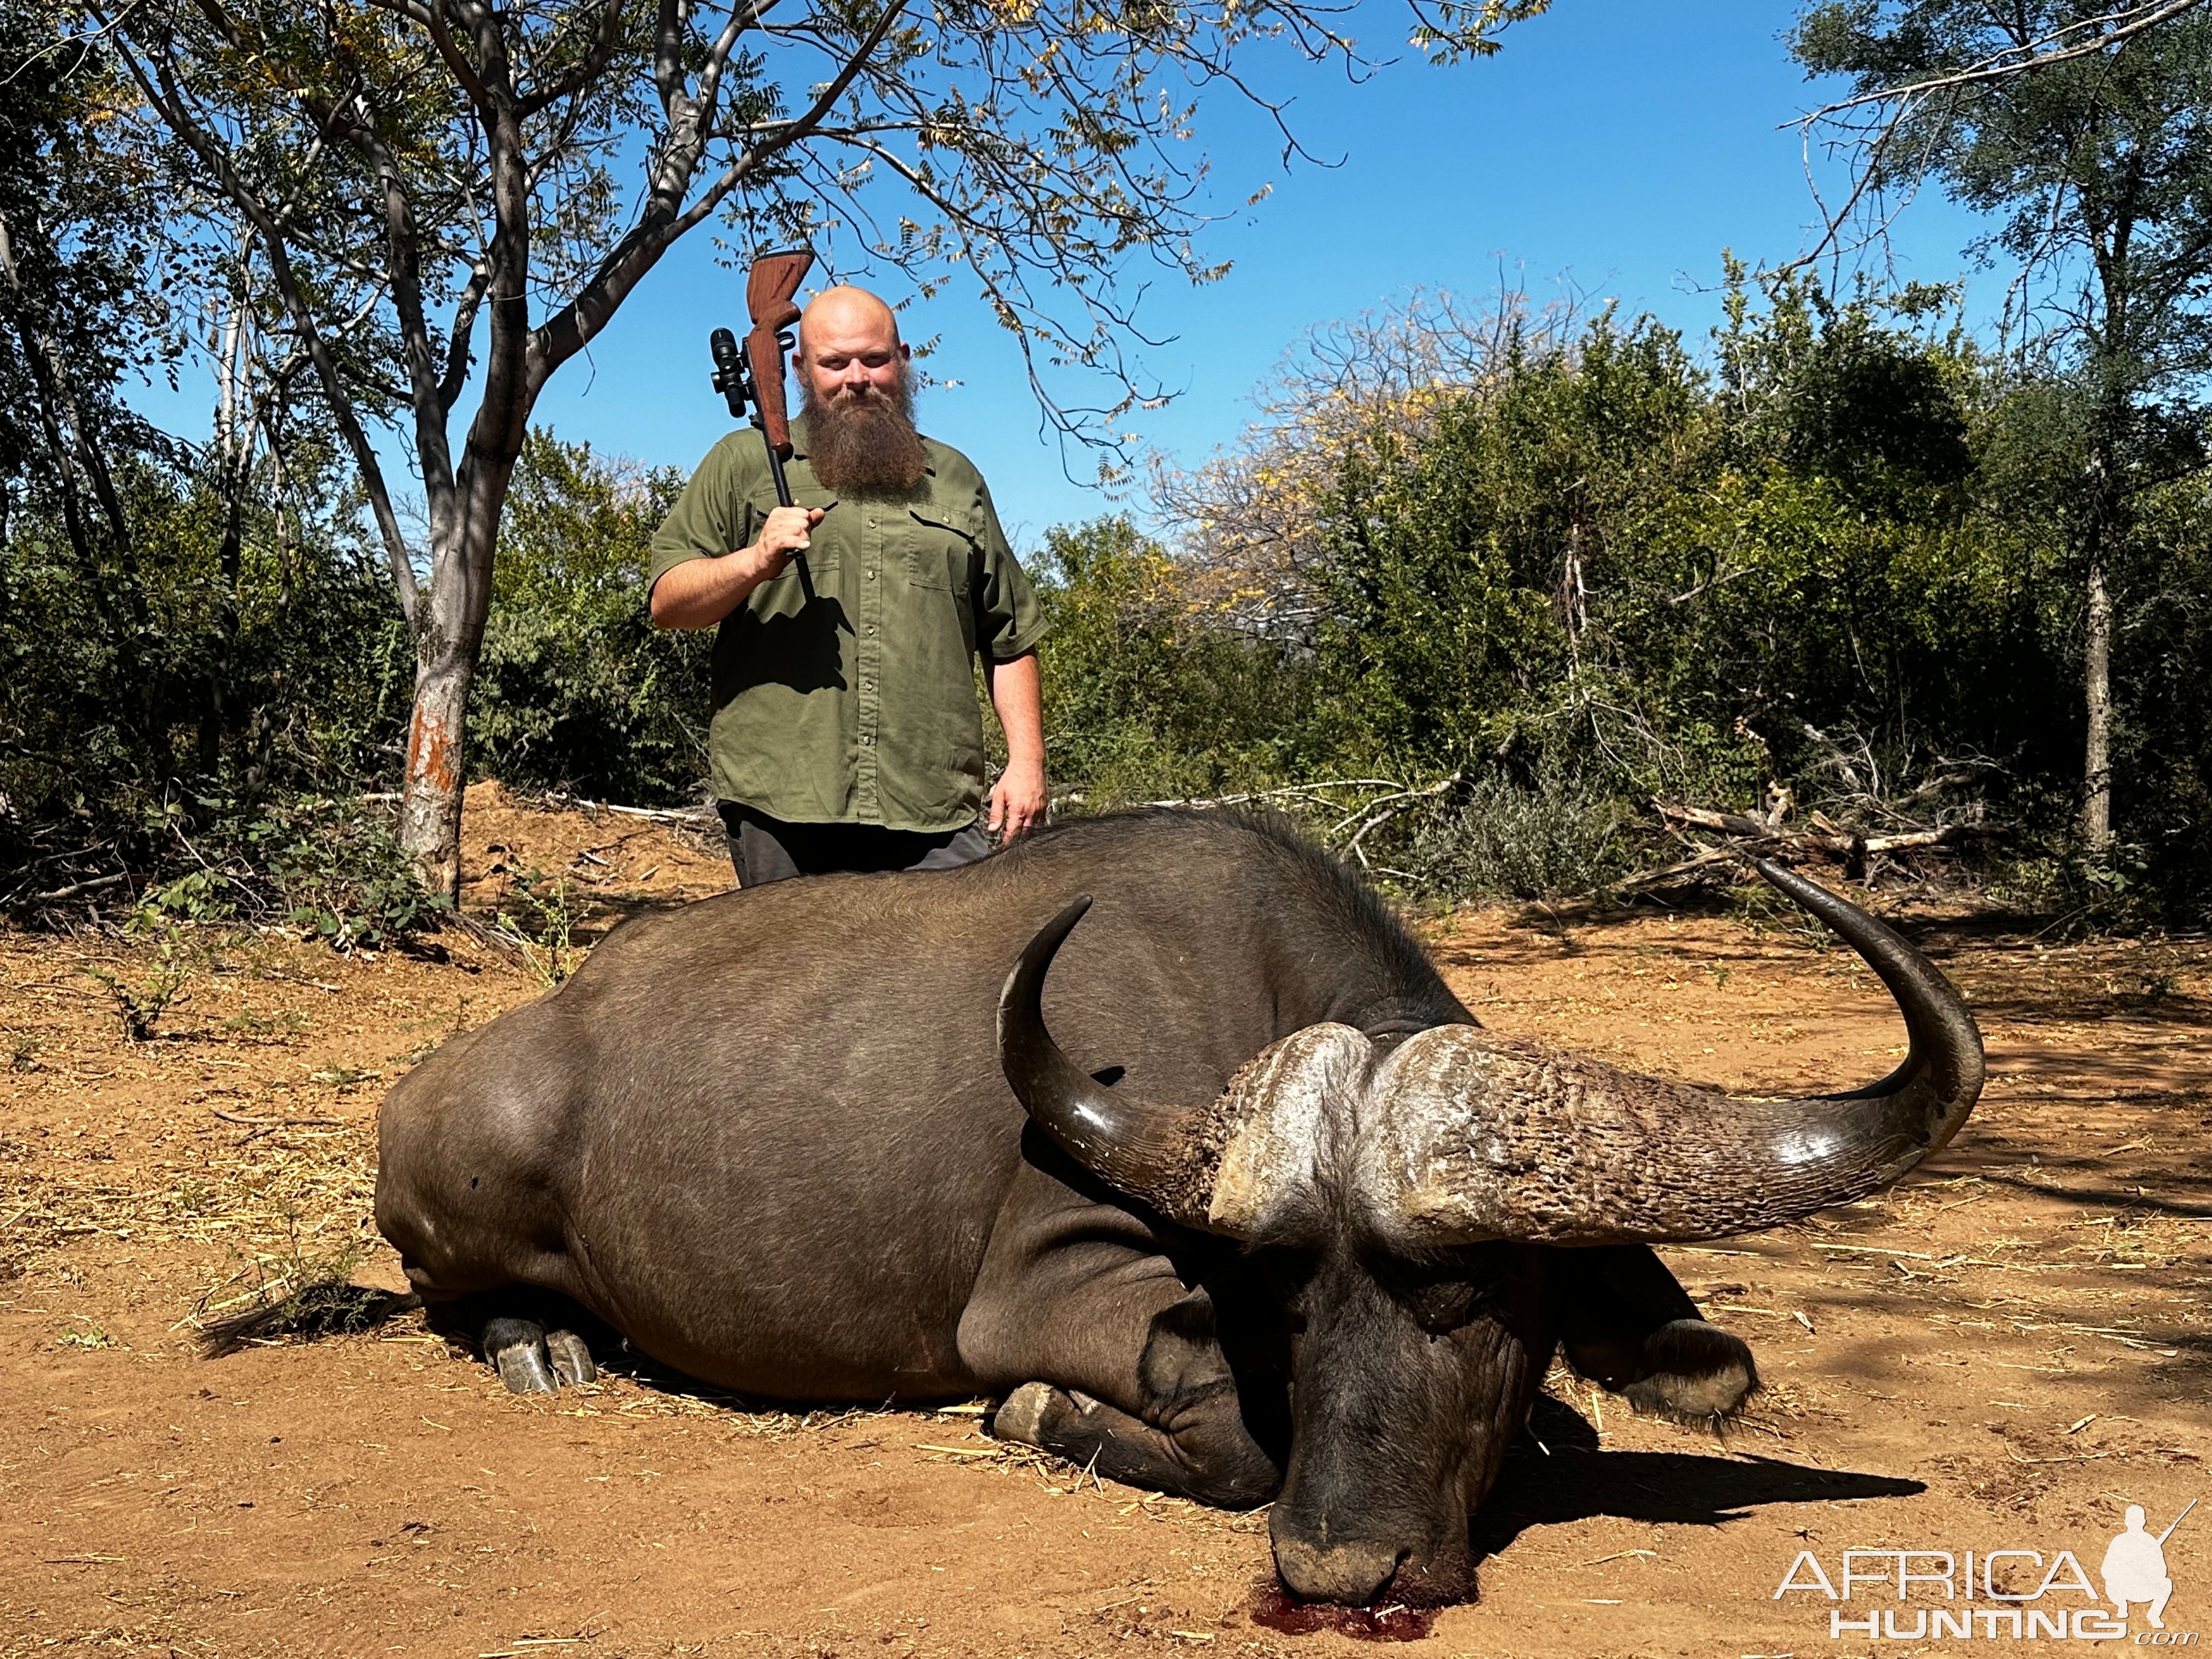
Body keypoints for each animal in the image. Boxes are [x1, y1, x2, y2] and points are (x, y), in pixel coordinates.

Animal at [371, 814, 1982, 1601]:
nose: (1342, 1570)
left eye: (1475, 1305)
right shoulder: (1054, 1293)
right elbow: (1225, 1437)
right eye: (1291, 1303)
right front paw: (1042, 1417)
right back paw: (541, 1344)